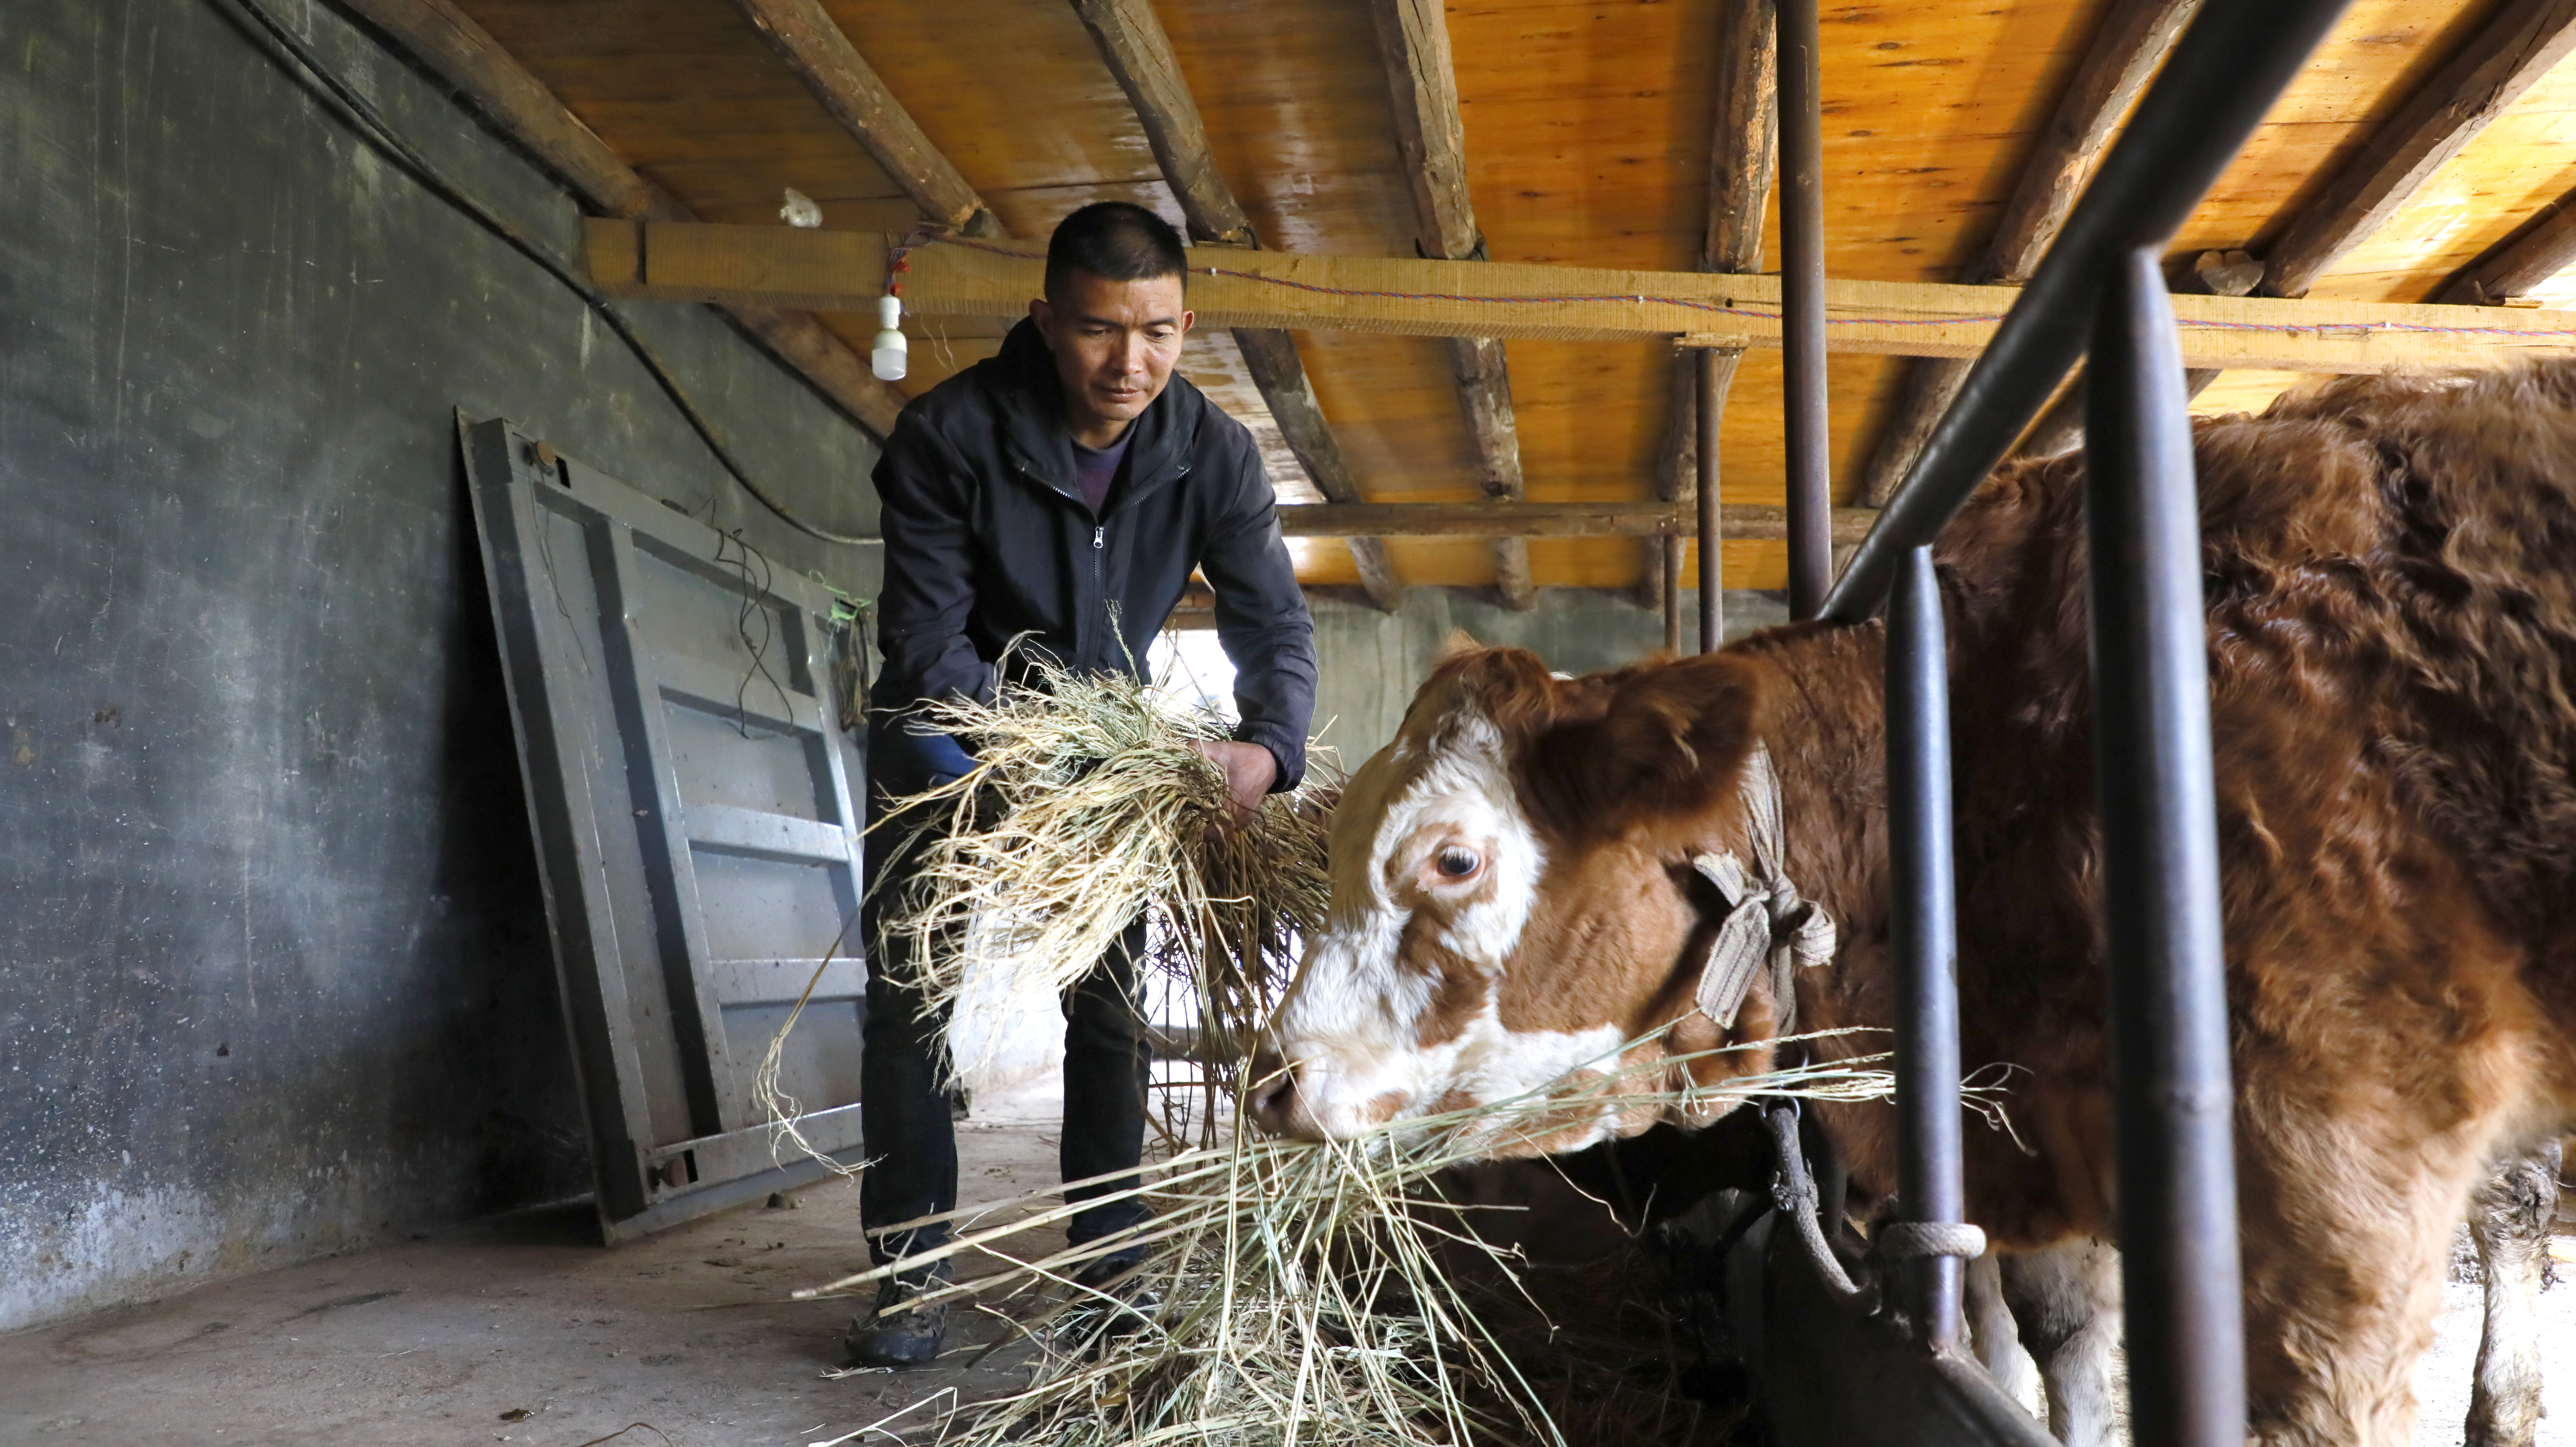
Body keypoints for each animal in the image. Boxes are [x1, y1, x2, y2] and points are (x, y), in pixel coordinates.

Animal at [1252, 366, 2576, 1431]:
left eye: (1451, 859)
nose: (1271, 1082)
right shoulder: (2027, 1131)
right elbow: (2053, 1346)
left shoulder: (2339, 1165)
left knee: (2514, 1216)